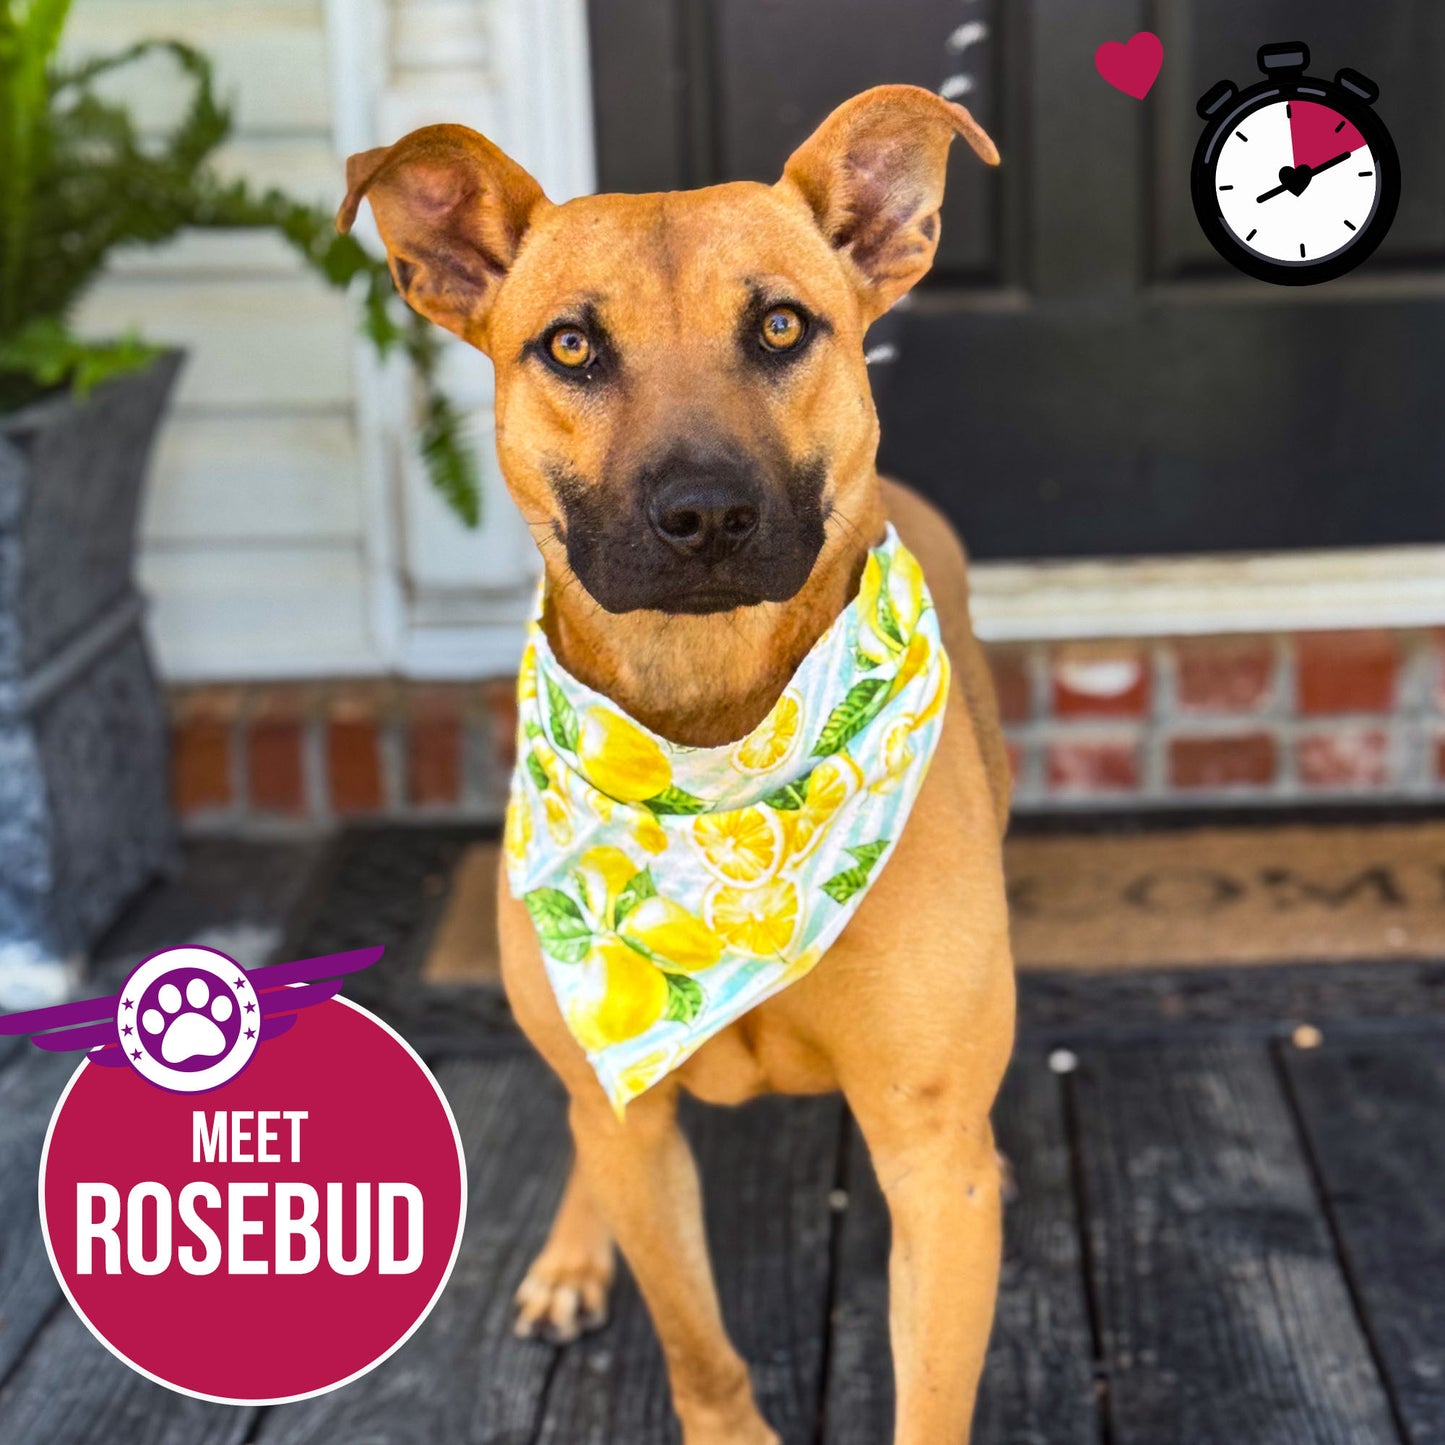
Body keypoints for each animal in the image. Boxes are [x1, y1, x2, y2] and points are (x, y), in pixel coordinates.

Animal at [339, 84, 1014, 1444]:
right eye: (569, 348)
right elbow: (698, 1347)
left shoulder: (936, 1161)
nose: (702, 514)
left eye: (781, 325)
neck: (708, 741)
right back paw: (567, 1249)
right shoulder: (635, 1125)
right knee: (579, 1116)